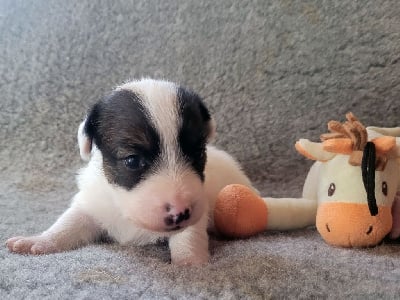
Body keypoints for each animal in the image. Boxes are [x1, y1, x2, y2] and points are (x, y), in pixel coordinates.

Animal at [6, 78, 255, 264]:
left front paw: (190, 265)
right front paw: (38, 240)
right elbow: (69, 223)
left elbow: (188, 236)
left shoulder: (196, 212)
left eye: (198, 153)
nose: (180, 212)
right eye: (133, 161)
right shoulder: (92, 204)